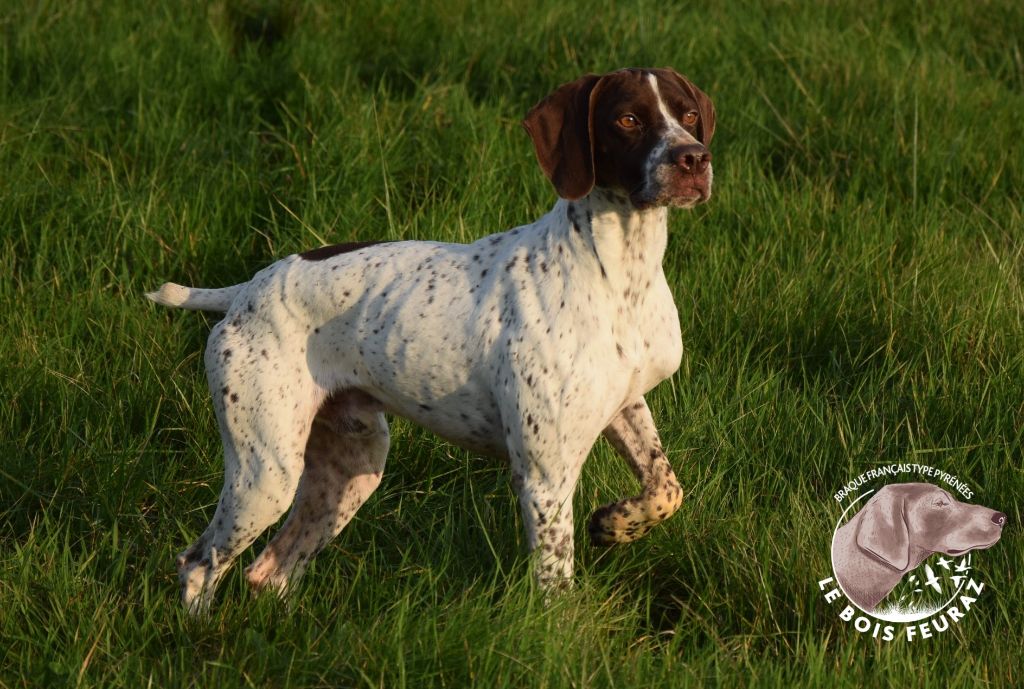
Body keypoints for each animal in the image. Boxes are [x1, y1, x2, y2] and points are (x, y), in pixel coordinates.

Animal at [148, 67, 716, 610]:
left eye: (688, 113)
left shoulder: (627, 405)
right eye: (628, 120)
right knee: (199, 563)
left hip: (351, 468)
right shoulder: (544, 475)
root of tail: (246, 291)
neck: (620, 275)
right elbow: (557, 585)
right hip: (266, 473)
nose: (694, 158)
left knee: (270, 571)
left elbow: (667, 488)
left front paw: (616, 523)